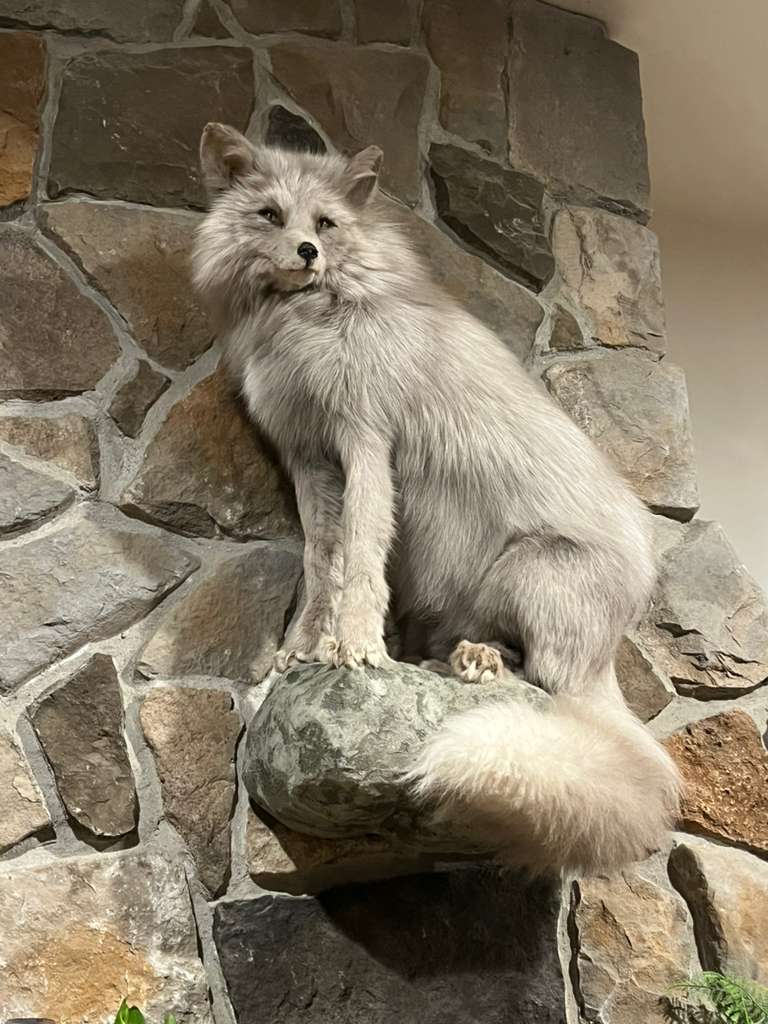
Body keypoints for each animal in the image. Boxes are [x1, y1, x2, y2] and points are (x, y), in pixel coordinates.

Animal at [192, 123, 680, 875]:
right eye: (270, 216)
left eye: (325, 225)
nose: (306, 254)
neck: (303, 323)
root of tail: (613, 642)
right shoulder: (310, 460)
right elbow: (320, 562)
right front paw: (302, 649)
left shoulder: (366, 439)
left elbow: (362, 552)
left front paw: (358, 649)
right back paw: (450, 658)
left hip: (533, 574)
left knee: (543, 682)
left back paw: (478, 662)